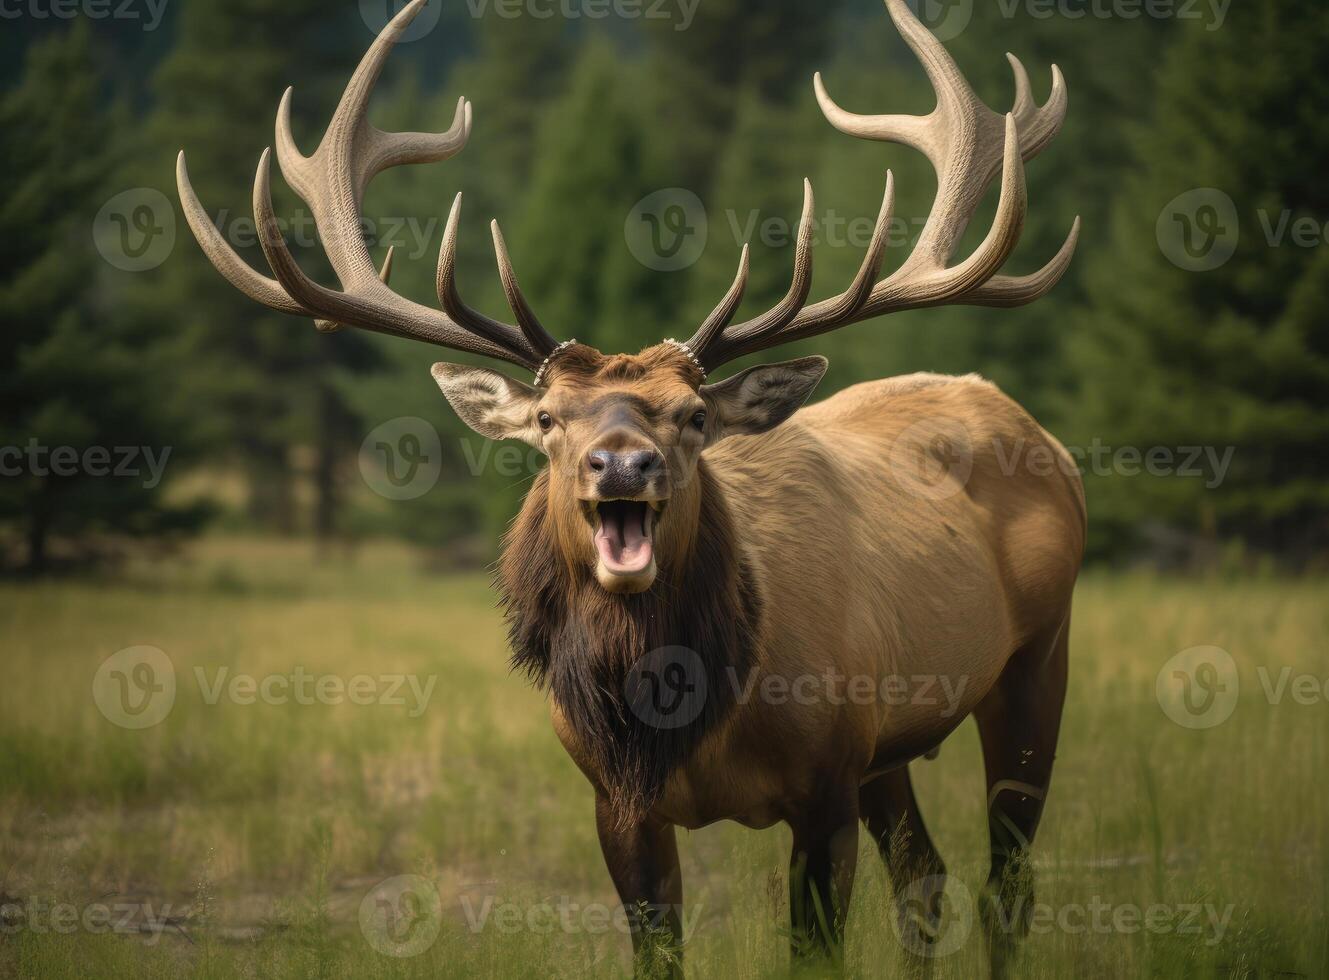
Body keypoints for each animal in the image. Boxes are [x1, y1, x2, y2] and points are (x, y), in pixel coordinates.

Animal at [176, 0, 1084, 974]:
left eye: (691, 415)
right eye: (547, 419)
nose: (620, 464)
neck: (690, 714)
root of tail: (1044, 440)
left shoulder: (828, 780)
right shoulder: (617, 802)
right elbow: (658, 950)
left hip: (1033, 661)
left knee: (1004, 884)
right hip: (896, 746)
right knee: (925, 878)